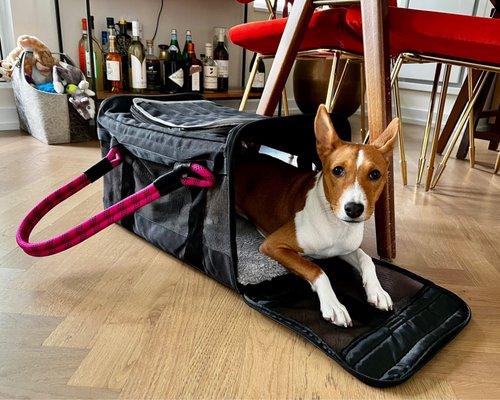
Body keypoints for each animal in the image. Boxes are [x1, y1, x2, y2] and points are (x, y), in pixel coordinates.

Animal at [236, 104, 400, 328]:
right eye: (337, 170)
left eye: (375, 174)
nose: (353, 209)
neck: (336, 225)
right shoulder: (273, 245)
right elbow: (316, 269)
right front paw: (334, 304)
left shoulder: (345, 249)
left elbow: (367, 259)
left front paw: (377, 291)